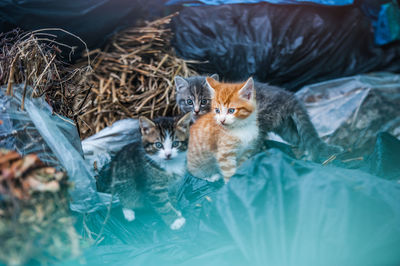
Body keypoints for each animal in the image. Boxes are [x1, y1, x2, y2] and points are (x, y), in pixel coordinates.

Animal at [177, 75, 342, 162]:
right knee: (301, 139)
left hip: (260, 121)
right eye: (189, 101)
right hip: (285, 127)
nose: (196, 111)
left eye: (204, 101)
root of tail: (288, 96)